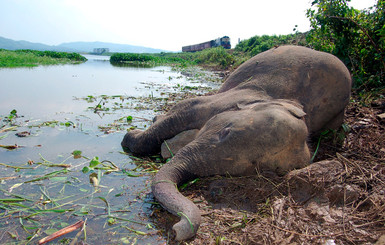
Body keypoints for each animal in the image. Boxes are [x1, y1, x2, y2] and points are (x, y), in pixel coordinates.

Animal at [121, 46, 352, 241]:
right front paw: (130, 137)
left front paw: (163, 149)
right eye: (226, 131)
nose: (176, 230)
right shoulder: (234, 96)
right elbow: (185, 109)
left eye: (252, 166)